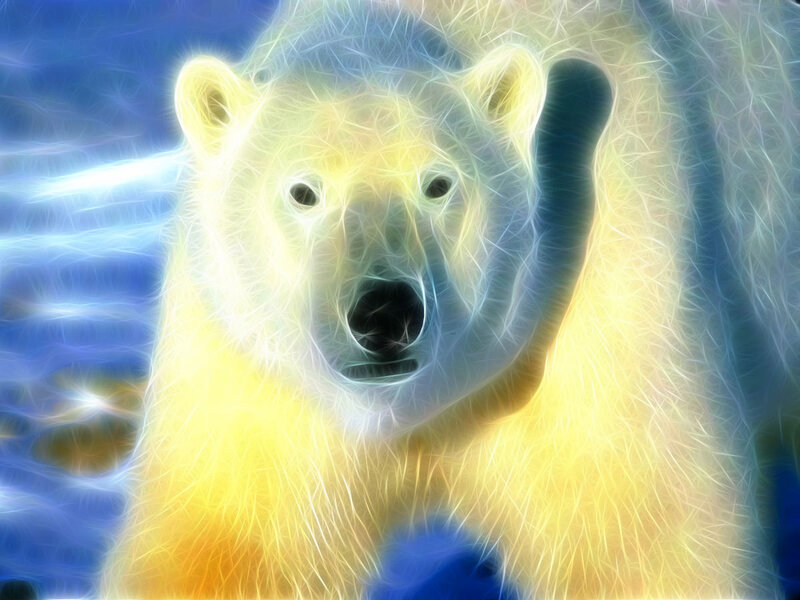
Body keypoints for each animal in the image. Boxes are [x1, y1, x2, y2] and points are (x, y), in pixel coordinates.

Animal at [102, 0, 799, 597]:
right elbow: (228, 547)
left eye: (438, 184)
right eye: (303, 191)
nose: (385, 312)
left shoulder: (603, 290)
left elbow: (643, 544)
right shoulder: (250, 371)